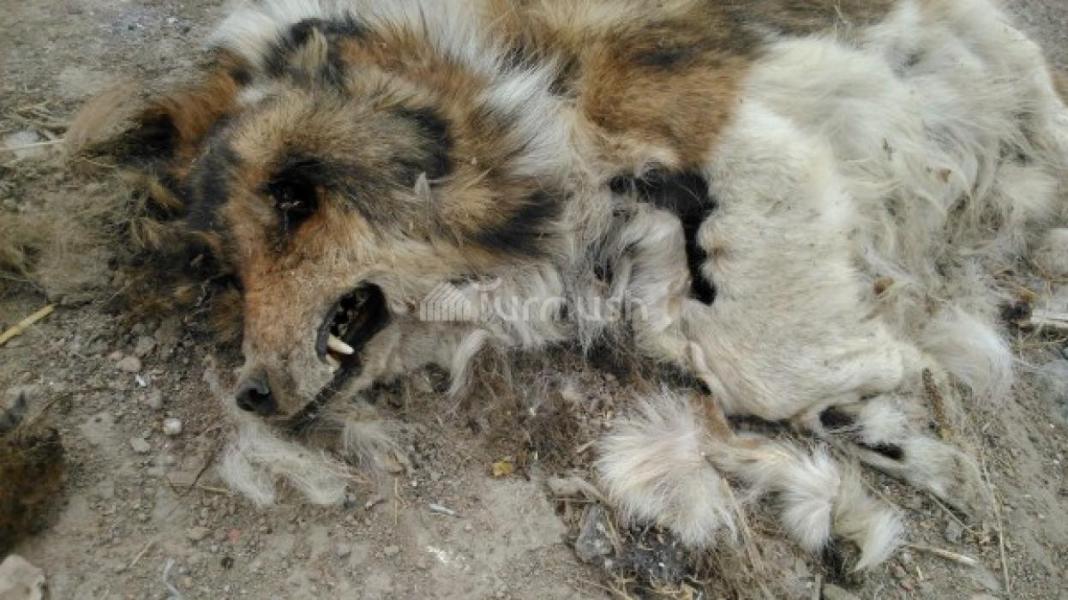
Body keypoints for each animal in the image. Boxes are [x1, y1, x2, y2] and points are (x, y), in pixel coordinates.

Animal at [68, 0, 1068, 571]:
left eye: (292, 200)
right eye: (226, 266)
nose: (247, 393)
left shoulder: (737, 114)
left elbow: (754, 356)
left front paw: (889, 372)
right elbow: (701, 341)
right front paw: (888, 427)